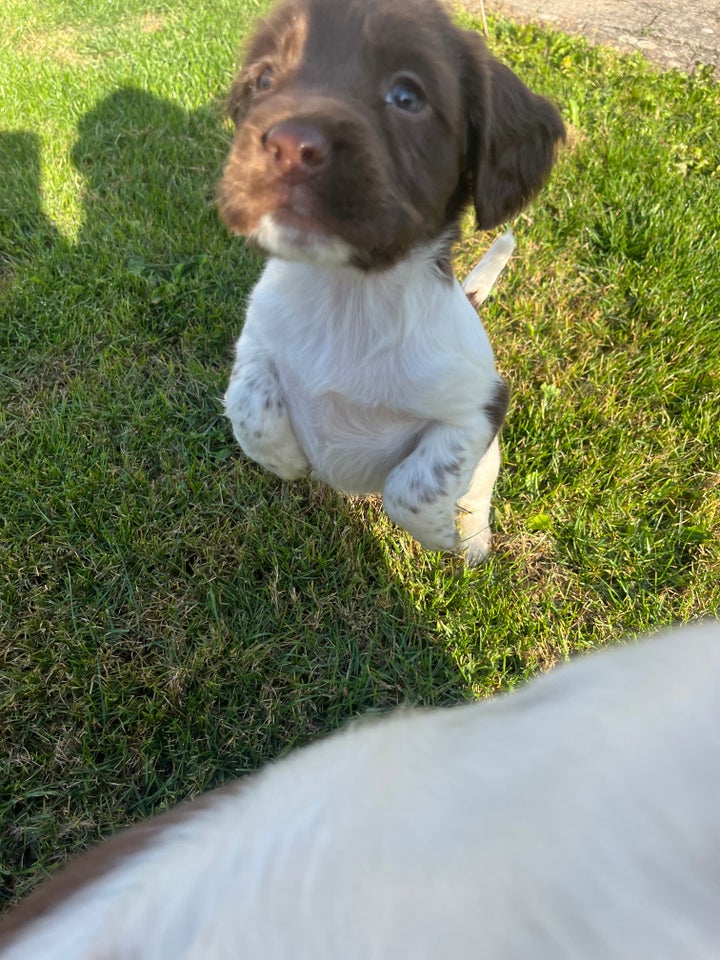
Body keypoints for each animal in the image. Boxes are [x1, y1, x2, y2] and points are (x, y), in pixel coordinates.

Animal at [217, 0, 564, 564]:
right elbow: (249, 409)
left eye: (406, 96)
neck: (347, 297)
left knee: (477, 494)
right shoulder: (255, 345)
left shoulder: (478, 409)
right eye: (264, 79)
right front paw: (289, 462)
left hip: (488, 457)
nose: (289, 144)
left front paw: (446, 538)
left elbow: (413, 489)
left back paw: (473, 540)